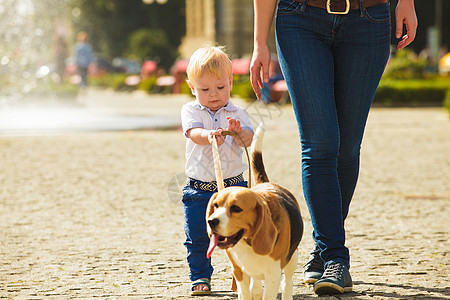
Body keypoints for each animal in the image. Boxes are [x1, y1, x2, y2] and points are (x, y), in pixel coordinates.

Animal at [207, 125, 304, 298]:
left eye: (236, 208)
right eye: (216, 205)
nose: (211, 221)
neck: (247, 242)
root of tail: (266, 183)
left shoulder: (273, 275)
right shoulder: (238, 271)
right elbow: (245, 293)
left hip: (292, 258)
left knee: (288, 282)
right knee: (257, 284)